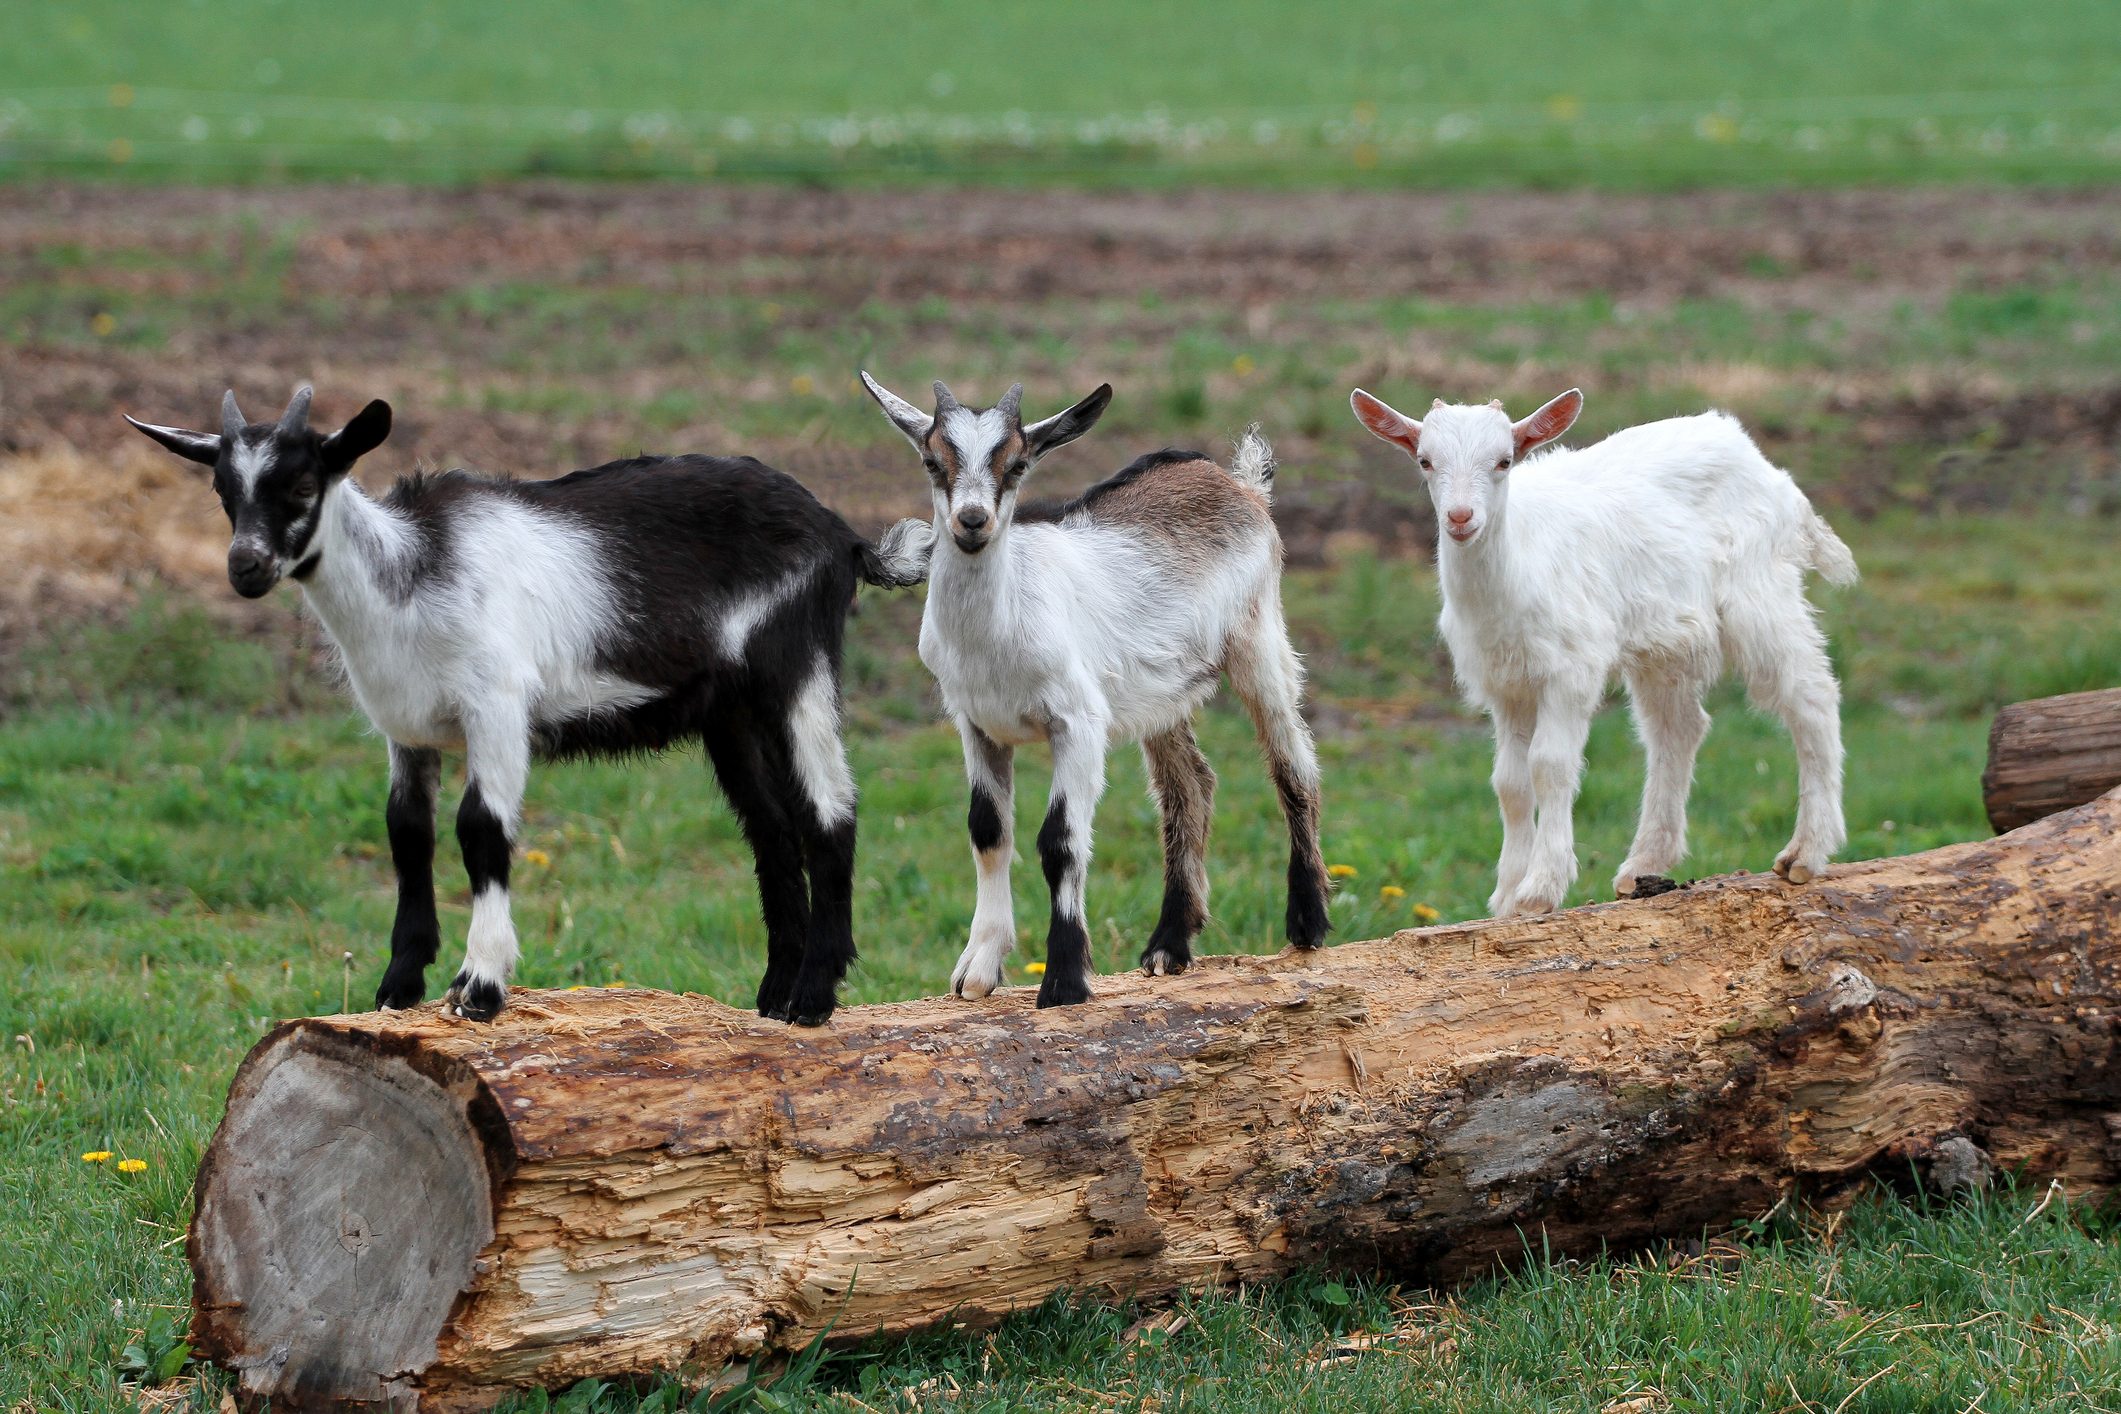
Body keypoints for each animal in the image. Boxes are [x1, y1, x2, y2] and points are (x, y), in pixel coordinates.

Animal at [126, 385, 931, 1024]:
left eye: (301, 486)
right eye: (224, 494)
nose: (246, 568)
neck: (411, 578)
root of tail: (842, 535)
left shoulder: (497, 708)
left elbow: (480, 830)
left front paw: (479, 987)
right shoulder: (406, 731)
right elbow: (406, 833)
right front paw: (397, 987)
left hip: (795, 668)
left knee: (829, 812)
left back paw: (813, 1000)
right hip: (727, 714)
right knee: (770, 830)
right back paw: (770, 996)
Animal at [860, 374, 1331, 1007]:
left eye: (1017, 464)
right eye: (933, 461)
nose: (973, 521)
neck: (998, 629)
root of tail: (1240, 484)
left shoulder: (1078, 722)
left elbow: (1060, 840)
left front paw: (1063, 980)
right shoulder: (975, 722)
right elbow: (988, 831)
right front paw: (977, 969)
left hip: (1257, 640)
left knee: (1292, 762)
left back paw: (1306, 922)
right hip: (1159, 693)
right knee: (1190, 787)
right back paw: (1168, 946)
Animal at [1349, 386, 1857, 916]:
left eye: (1504, 461)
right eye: (1425, 461)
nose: (1461, 517)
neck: (1515, 571)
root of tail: (1769, 471)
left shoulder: (1571, 669)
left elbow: (1549, 766)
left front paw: (1541, 888)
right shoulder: (1505, 683)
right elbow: (1509, 782)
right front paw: (1507, 895)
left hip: (1759, 591)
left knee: (1811, 694)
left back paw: (1805, 852)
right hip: (1666, 639)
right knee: (1679, 728)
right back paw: (1644, 864)